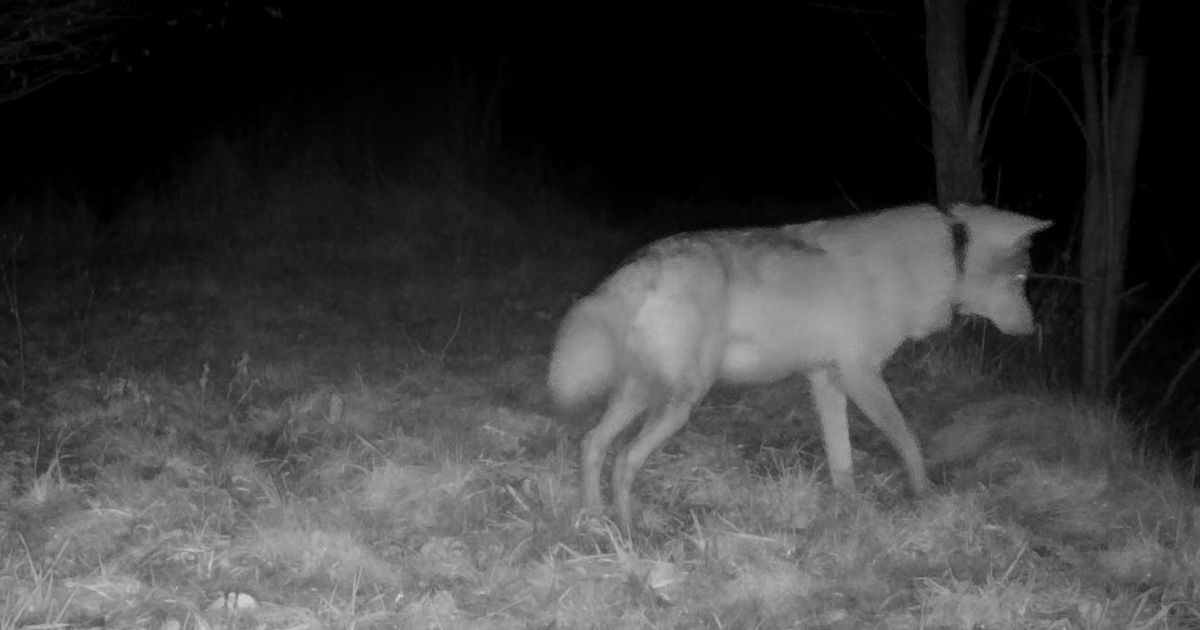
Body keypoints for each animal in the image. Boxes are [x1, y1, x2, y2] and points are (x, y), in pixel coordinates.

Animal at [547, 203, 1051, 532]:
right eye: (1022, 279)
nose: (1034, 328)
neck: (943, 256)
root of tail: (642, 266)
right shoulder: (859, 375)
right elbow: (908, 441)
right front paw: (924, 496)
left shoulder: (826, 379)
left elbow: (841, 459)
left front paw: (849, 510)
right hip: (678, 403)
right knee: (624, 460)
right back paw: (630, 531)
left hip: (642, 394)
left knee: (593, 444)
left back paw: (593, 518)